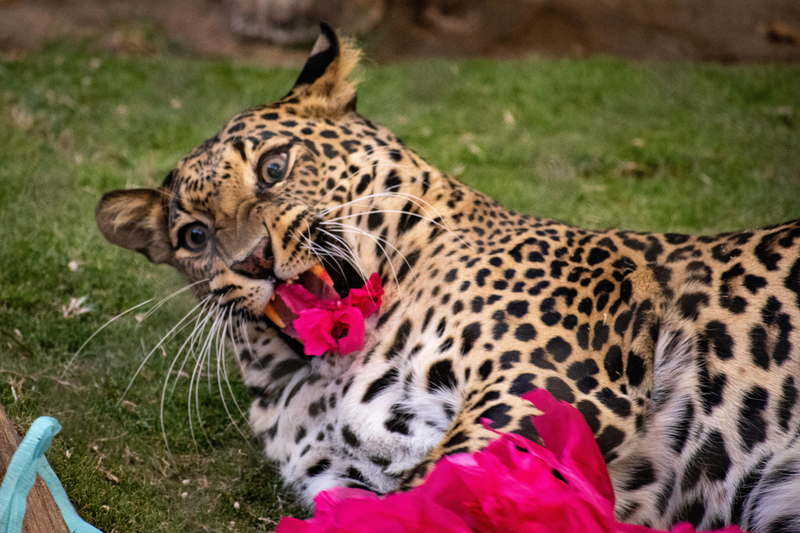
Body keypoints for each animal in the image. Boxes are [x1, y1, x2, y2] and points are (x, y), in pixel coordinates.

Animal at [97, 22, 800, 528]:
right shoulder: (342, 479)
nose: (251, 259)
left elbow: (433, 487)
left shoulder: (536, 387)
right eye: (194, 237)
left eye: (273, 168)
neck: (327, 374)